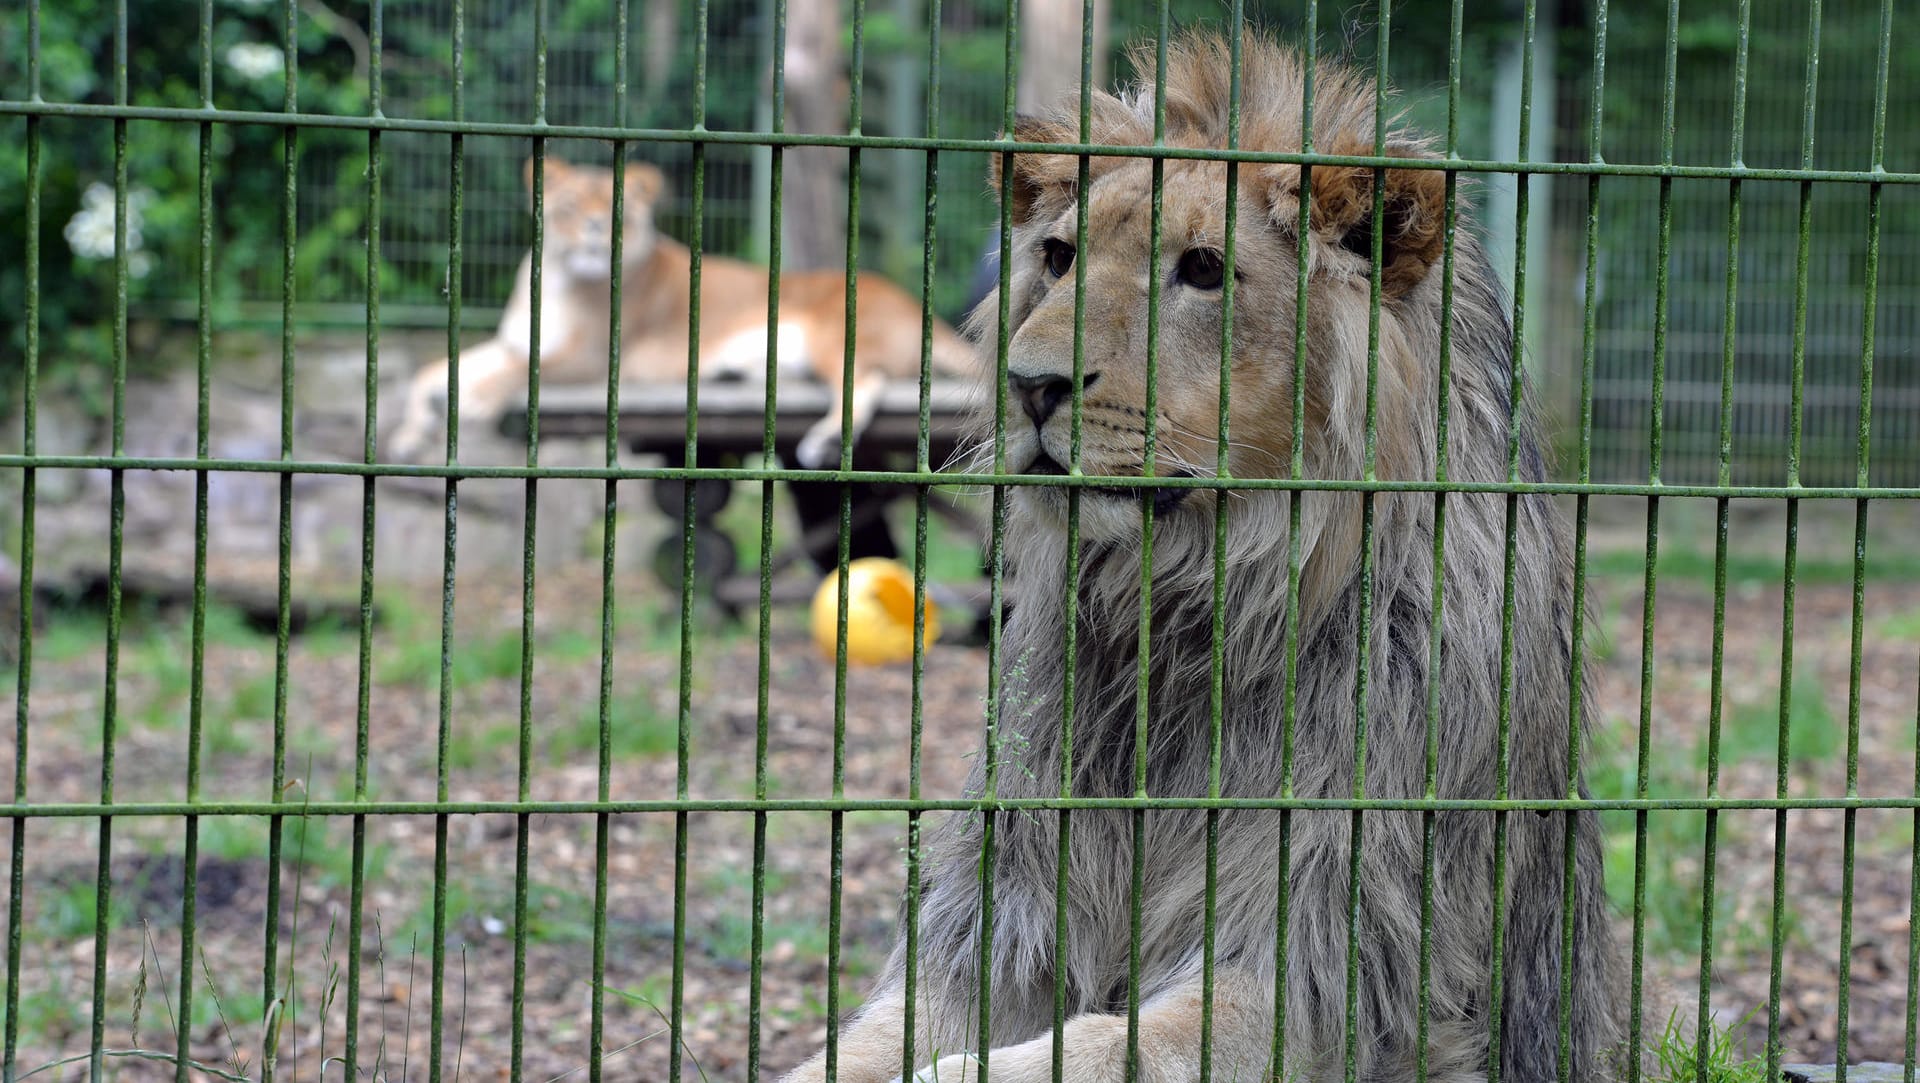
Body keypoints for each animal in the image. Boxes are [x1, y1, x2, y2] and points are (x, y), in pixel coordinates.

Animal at [384, 155, 975, 464]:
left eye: (616, 209)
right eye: (572, 205)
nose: (596, 227)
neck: (555, 277)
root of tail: (920, 309)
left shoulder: (596, 357)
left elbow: (523, 371)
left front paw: (476, 402)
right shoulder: (511, 341)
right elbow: (431, 371)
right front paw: (408, 434)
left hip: (834, 336)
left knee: (866, 383)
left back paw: (822, 440)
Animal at [779, 29, 1620, 1083]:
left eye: (1205, 270)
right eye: (1058, 258)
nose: (1029, 384)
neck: (1185, 615)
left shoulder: (1321, 964)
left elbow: (1096, 1048)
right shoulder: (996, 925)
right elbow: (863, 1042)